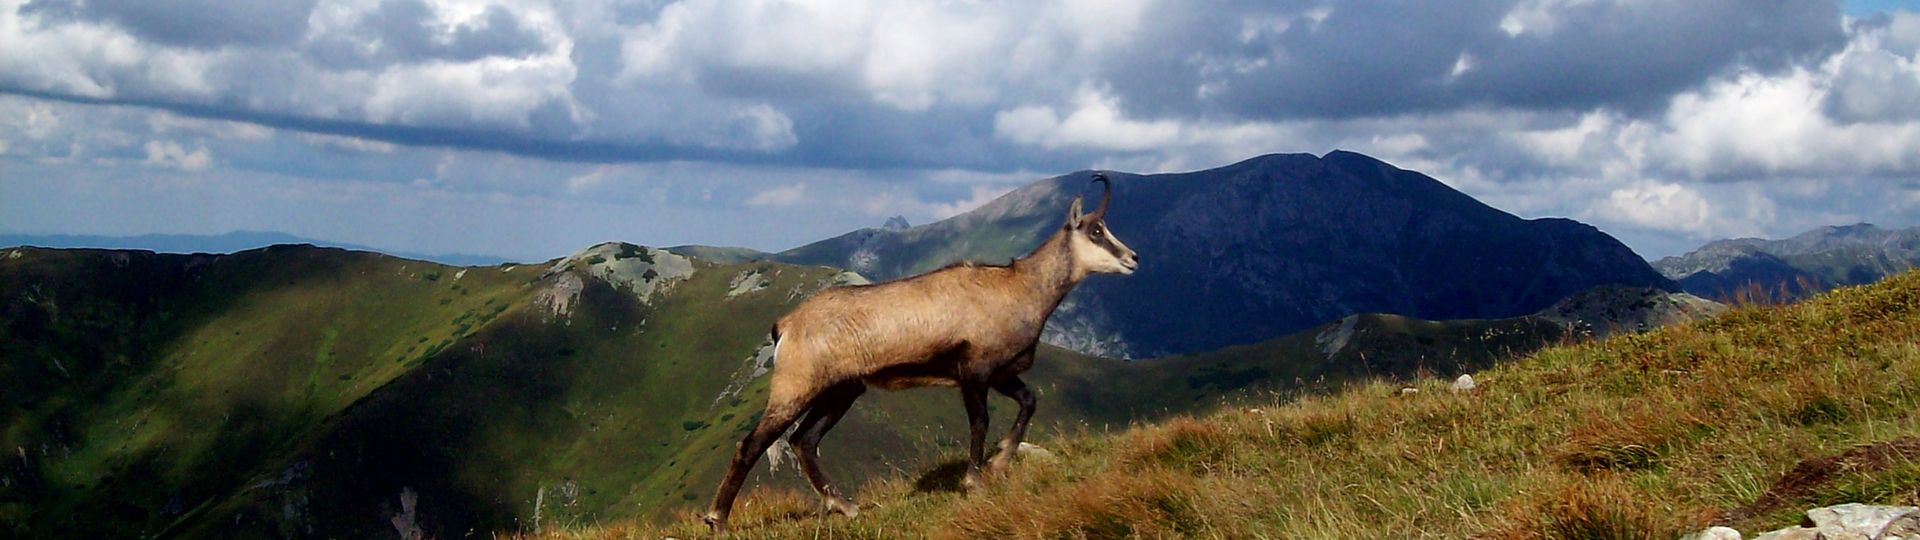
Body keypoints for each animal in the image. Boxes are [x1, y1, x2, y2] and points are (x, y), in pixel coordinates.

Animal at [703, 173, 1140, 534]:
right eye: (1096, 230)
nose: (1133, 259)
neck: (1019, 288)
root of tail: (785, 326)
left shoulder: (1000, 373)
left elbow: (1029, 401)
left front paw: (1000, 461)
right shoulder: (974, 371)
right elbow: (980, 422)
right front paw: (975, 481)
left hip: (842, 390)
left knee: (803, 440)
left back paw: (845, 506)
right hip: (797, 386)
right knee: (753, 444)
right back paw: (718, 520)